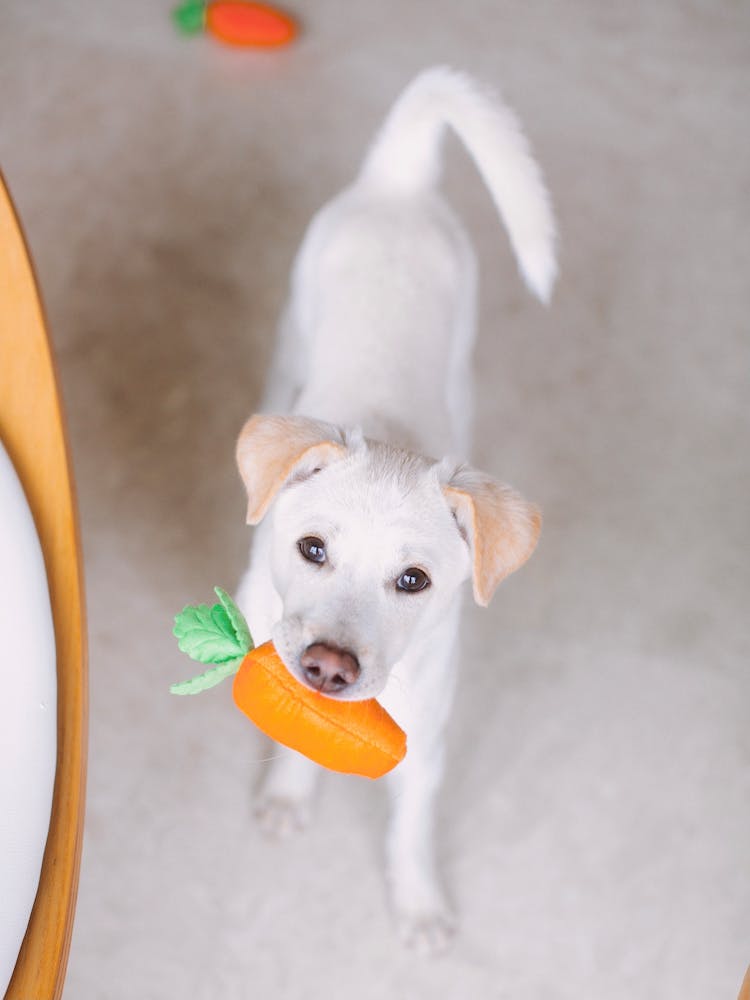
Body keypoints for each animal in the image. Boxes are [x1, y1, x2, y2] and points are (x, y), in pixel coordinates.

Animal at [235, 66, 560, 956]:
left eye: (414, 581)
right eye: (312, 549)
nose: (327, 668)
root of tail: (400, 183)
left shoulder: (428, 742)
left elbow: (409, 826)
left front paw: (417, 904)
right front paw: (289, 792)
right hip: (291, 328)